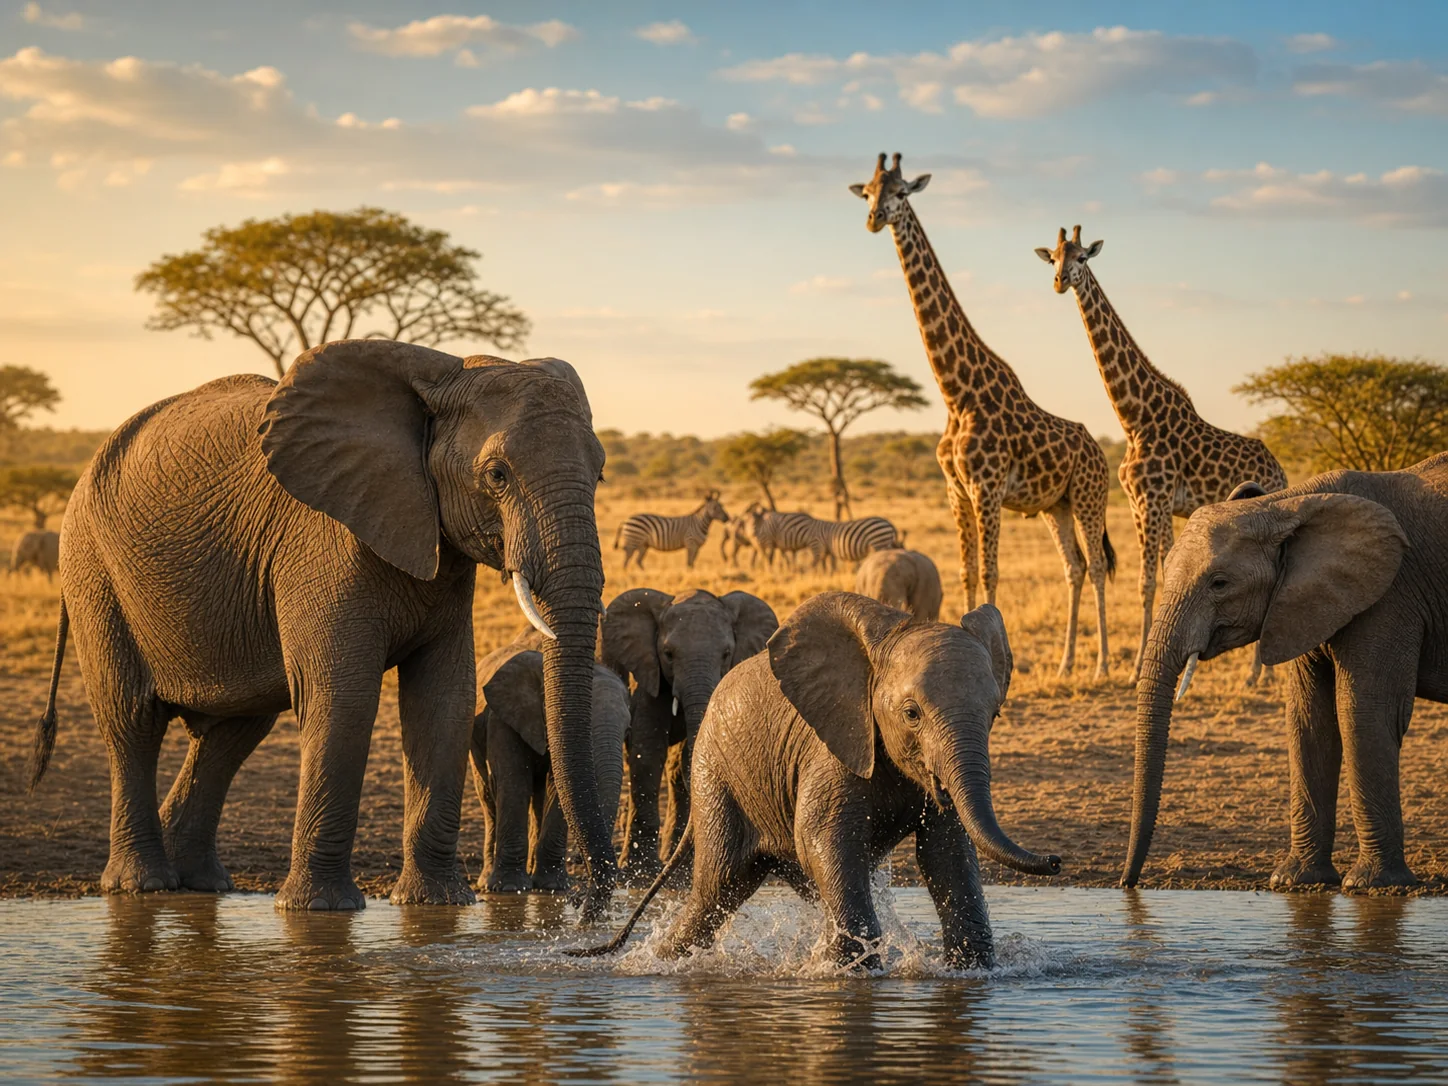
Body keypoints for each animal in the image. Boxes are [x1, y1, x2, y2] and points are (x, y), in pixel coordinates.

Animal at [470, 641, 630, 894]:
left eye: (627, 731)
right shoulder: (502, 720)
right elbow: (514, 780)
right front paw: (510, 888)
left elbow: (557, 788)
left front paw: (552, 886)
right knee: (488, 797)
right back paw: (487, 882)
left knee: (538, 797)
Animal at [601, 586, 778, 883]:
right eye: (668, 654)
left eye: (727, 654)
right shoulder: (649, 676)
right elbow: (648, 752)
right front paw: (642, 873)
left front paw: (683, 873)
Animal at [850, 153, 1116, 678]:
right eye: (868, 191)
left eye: (902, 192)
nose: (874, 218)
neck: (957, 393)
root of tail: (1100, 450)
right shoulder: (956, 489)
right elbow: (967, 571)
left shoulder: (987, 488)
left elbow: (991, 572)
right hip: (1057, 505)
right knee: (1073, 567)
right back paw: (1065, 664)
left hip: (1089, 496)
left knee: (1096, 566)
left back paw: (1100, 666)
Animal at [1036, 225, 1288, 683]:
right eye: (1055, 257)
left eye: (1082, 257)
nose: (1061, 282)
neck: (1133, 417)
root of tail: (1281, 470)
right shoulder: (1142, 504)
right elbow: (1158, 576)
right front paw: (1144, 662)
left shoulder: (1154, 500)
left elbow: (1149, 580)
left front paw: (1136, 668)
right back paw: (1259, 674)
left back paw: (1257, 676)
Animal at [1122, 453, 1448, 893]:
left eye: (1219, 583)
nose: (1128, 883)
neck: (1287, 506)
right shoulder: (1303, 599)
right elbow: (1310, 719)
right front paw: (1294, 881)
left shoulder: (1391, 595)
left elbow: (1363, 714)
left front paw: (1371, 887)